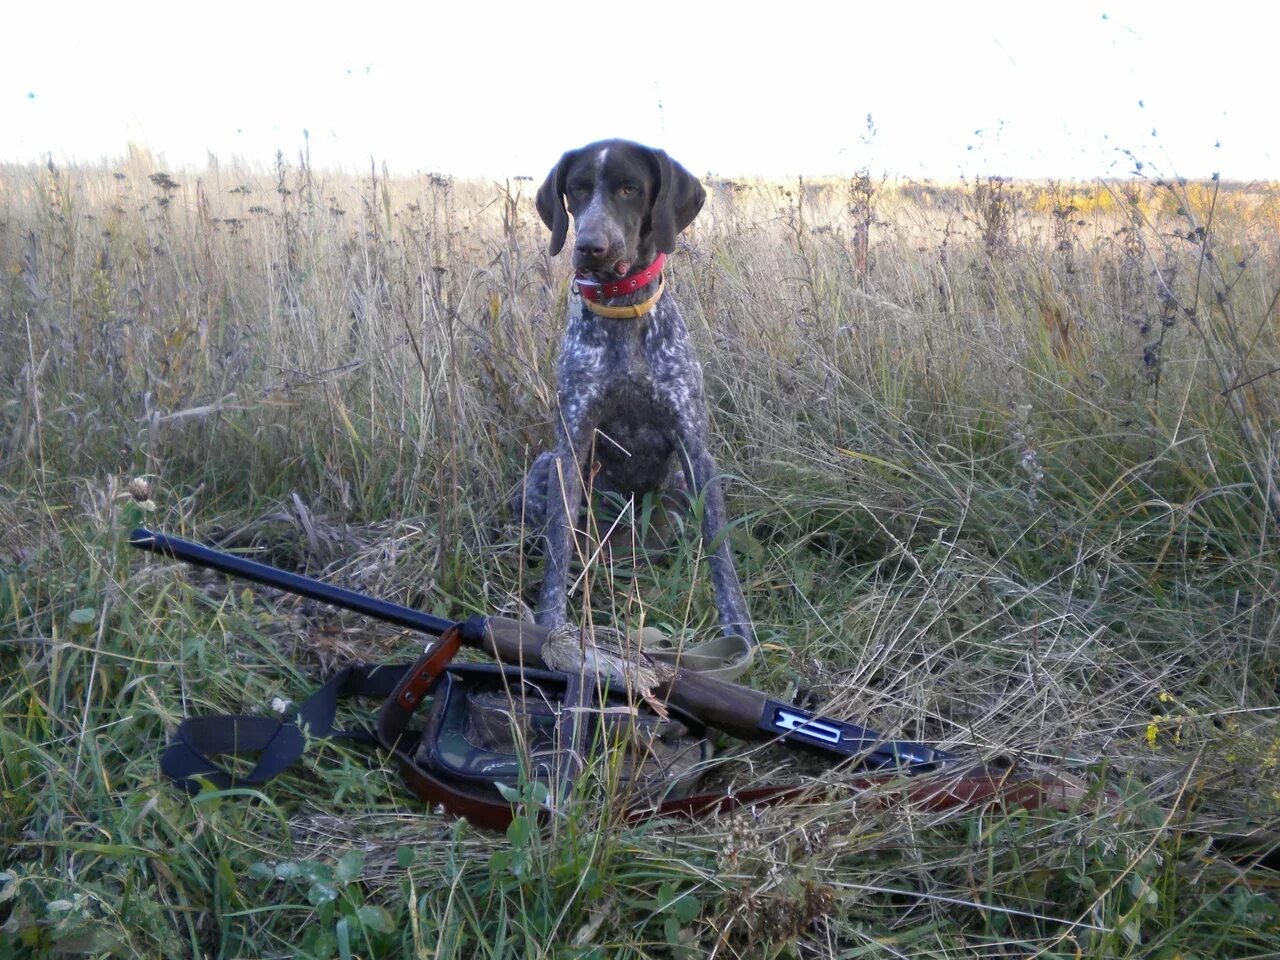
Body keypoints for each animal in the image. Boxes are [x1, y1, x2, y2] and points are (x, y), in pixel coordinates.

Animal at [519, 138, 752, 660]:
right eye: (577, 189)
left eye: (630, 188)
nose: (590, 247)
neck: (622, 311)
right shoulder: (571, 444)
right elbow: (558, 546)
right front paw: (550, 627)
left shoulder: (695, 448)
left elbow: (722, 553)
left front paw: (739, 631)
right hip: (543, 469)